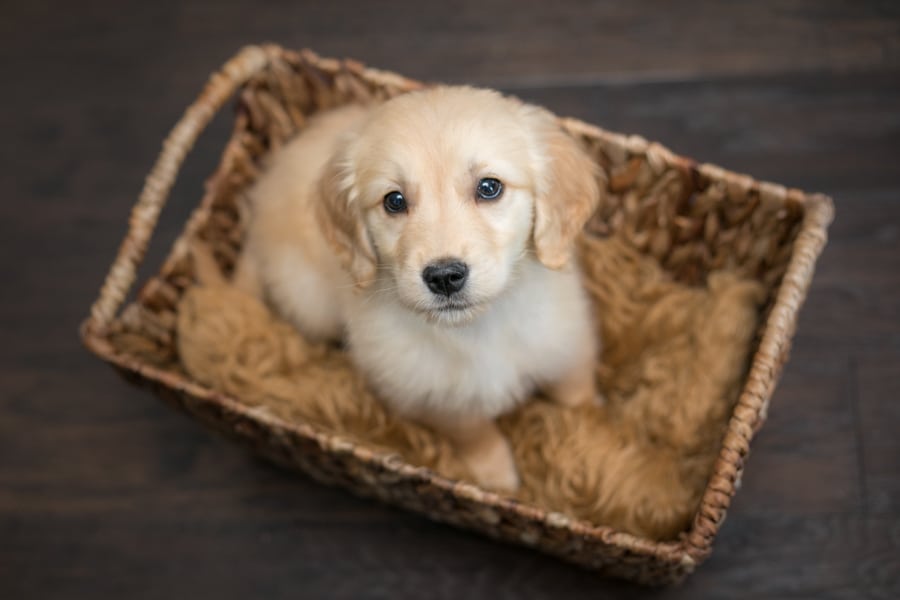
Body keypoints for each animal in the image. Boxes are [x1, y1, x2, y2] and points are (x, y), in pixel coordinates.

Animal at [236, 88, 600, 492]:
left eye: (489, 187)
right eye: (394, 201)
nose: (444, 277)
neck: (476, 328)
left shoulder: (566, 345)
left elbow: (576, 396)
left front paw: (592, 439)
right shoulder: (435, 396)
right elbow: (476, 435)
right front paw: (497, 480)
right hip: (311, 305)